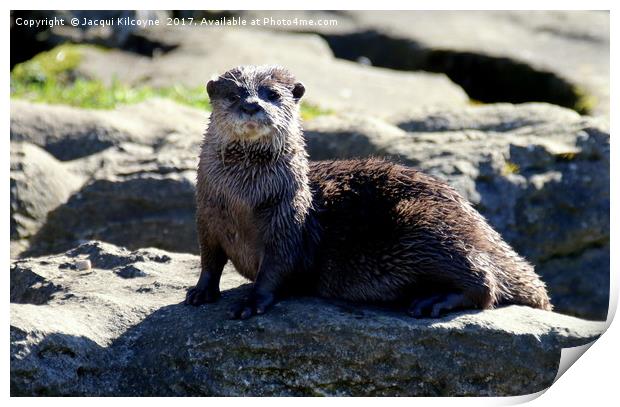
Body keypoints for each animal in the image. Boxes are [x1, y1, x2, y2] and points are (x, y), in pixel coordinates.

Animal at [185, 65, 552, 320]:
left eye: (272, 94)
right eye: (234, 94)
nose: (251, 106)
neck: (242, 202)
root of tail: (483, 228)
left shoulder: (287, 222)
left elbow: (276, 270)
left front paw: (251, 303)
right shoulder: (205, 215)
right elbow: (209, 259)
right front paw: (200, 293)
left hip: (428, 227)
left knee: (485, 284)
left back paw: (432, 301)